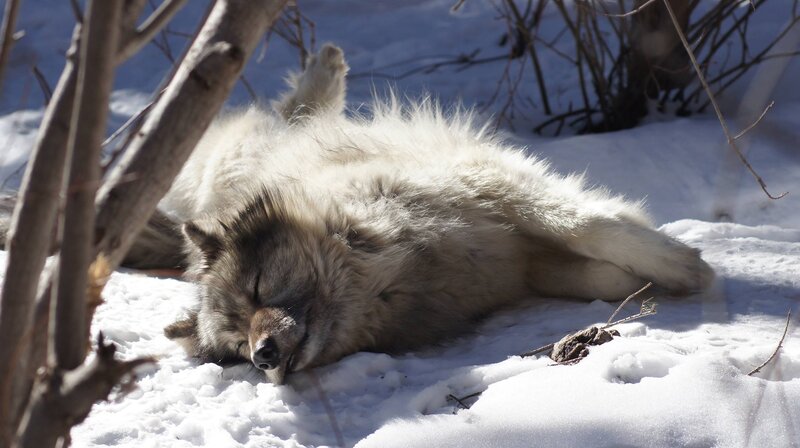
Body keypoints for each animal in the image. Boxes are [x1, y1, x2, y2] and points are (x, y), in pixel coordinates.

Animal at [138, 44, 713, 384]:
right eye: (237, 343)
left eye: (258, 290)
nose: (263, 356)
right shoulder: (512, 260)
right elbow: (595, 275)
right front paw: (632, 280)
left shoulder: (489, 184)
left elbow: (587, 225)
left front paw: (682, 266)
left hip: (234, 154)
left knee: (293, 111)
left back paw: (324, 68)